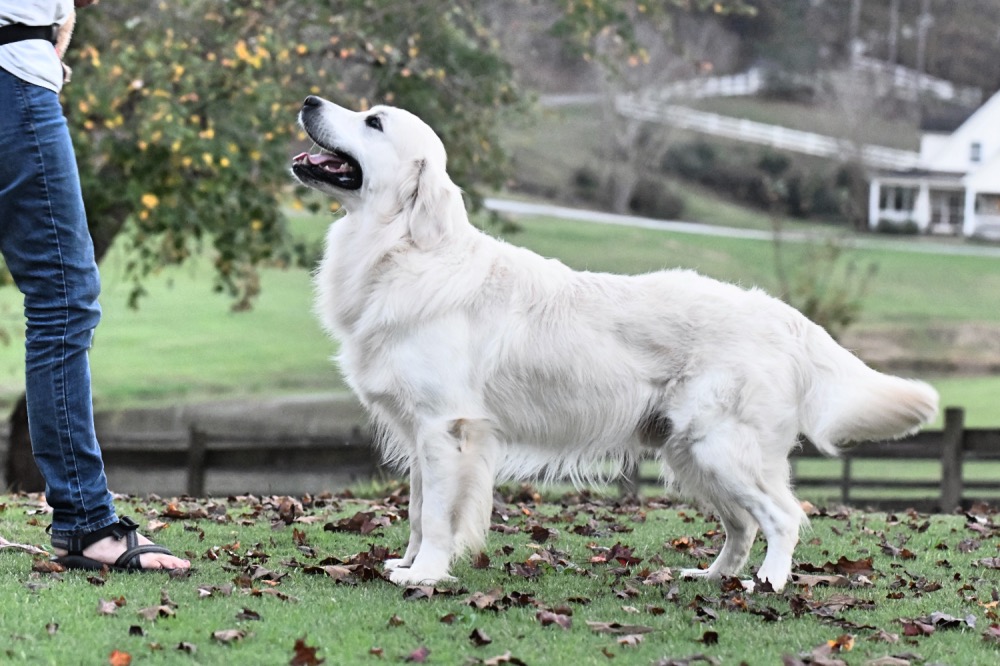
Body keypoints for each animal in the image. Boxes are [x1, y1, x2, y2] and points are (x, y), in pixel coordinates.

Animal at [290, 96, 936, 588]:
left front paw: (425, 574)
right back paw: (712, 577)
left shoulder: (448, 428)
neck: (402, 249)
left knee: (782, 517)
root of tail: (783, 314)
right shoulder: (422, 431)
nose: (309, 101)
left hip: (722, 447)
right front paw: (404, 564)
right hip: (690, 453)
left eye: (374, 122)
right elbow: (419, 510)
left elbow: (440, 517)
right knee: (744, 525)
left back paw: (768, 585)